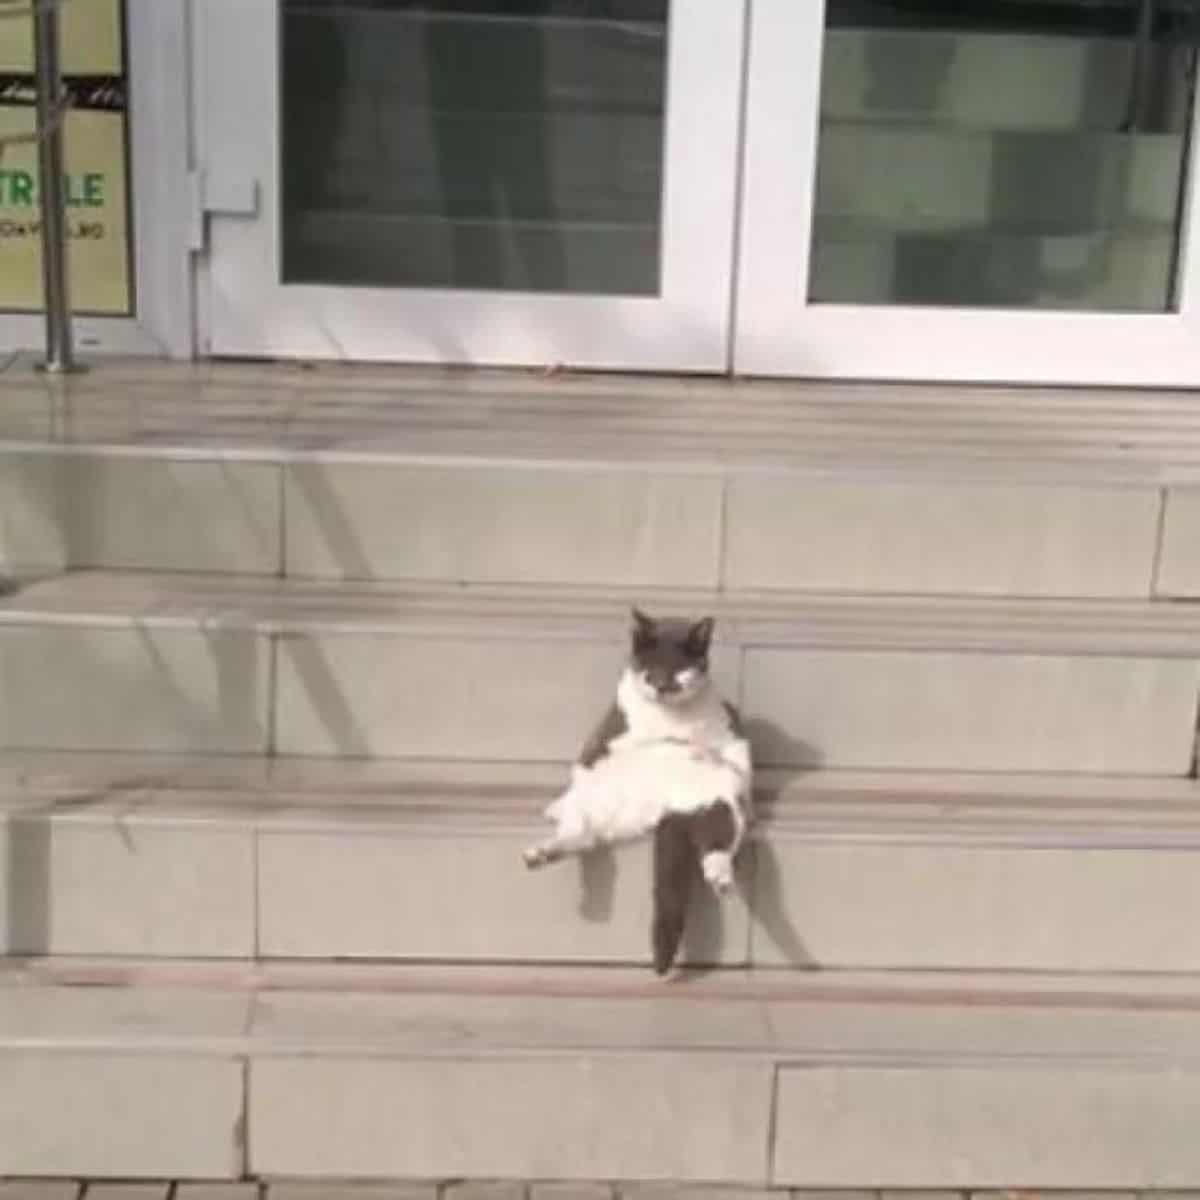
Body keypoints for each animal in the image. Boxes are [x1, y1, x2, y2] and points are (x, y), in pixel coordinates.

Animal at [523, 609, 748, 974]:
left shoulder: (729, 738)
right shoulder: (605, 741)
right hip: (598, 797)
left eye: (679, 669)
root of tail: (669, 810)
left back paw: (719, 875)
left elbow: (732, 756)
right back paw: (544, 850)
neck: (671, 719)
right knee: (581, 833)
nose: (662, 685)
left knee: (716, 841)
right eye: (650, 670)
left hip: (718, 806)